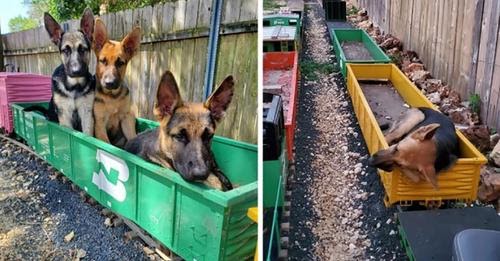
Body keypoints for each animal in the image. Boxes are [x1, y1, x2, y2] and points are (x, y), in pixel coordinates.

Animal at [92, 18, 141, 146]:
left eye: (120, 63)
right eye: (102, 61)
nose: (110, 83)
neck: (112, 96)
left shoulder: (126, 118)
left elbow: (133, 137)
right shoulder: (100, 123)